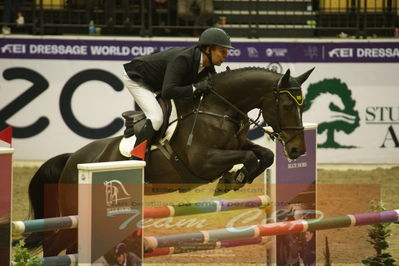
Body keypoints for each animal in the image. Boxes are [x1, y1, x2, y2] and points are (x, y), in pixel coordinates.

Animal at [24, 66, 316, 258]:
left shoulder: (238, 143)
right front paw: (231, 179)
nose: (297, 150)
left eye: (302, 106)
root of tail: (73, 159)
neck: (219, 109)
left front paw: (236, 178)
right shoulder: (203, 162)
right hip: (74, 213)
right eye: (287, 106)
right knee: (53, 244)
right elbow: (246, 157)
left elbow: (264, 155)